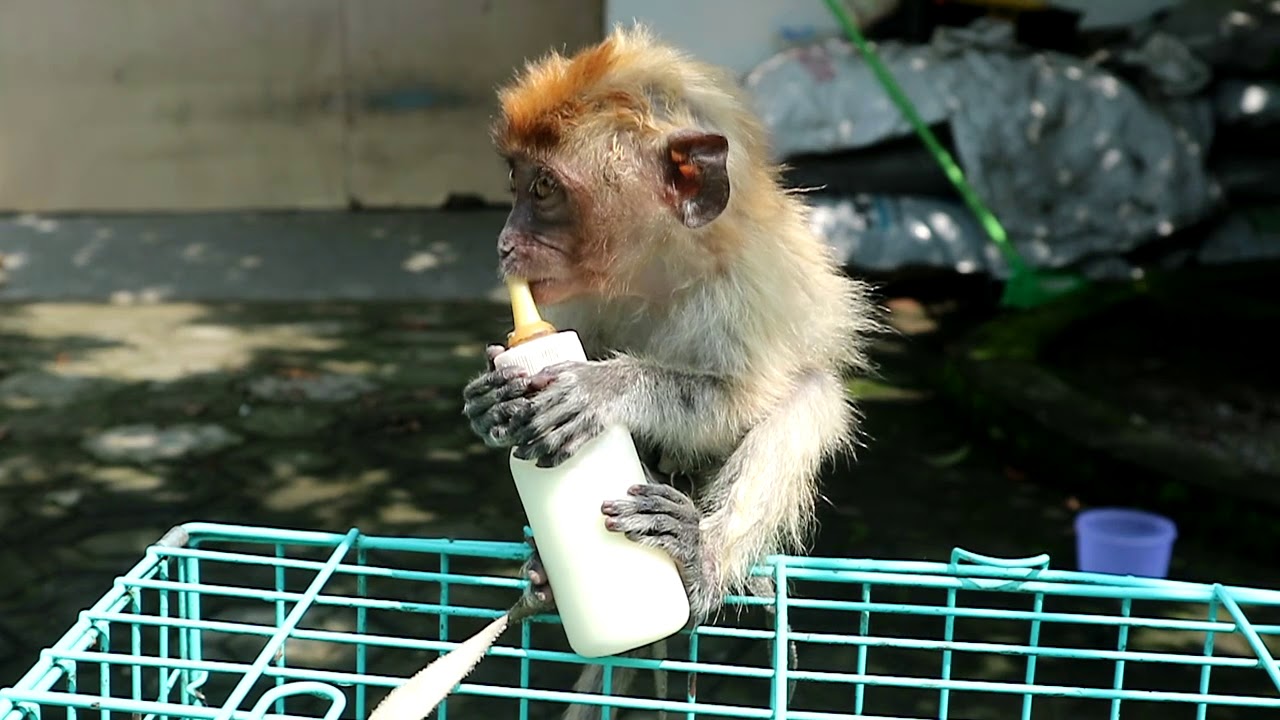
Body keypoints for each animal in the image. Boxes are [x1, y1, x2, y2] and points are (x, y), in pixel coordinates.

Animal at [461, 24, 880, 716]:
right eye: (516, 181)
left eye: (543, 190)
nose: (503, 244)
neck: (656, 271)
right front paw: (495, 398)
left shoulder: (747, 287)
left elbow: (743, 398)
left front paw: (605, 389)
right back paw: (547, 575)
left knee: (812, 393)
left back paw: (698, 558)